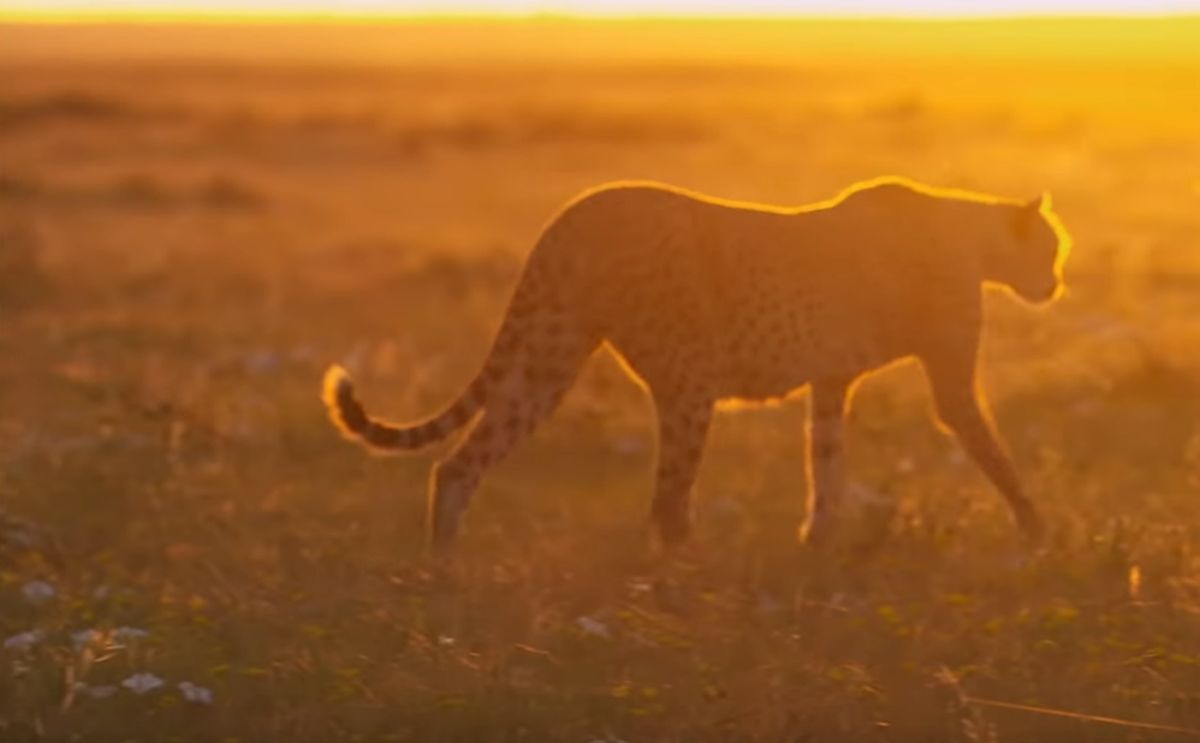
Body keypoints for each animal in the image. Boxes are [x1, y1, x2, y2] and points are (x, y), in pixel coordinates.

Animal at [324, 176, 1075, 552]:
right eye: (1051, 247)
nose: (1056, 283)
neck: (972, 233)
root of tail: (580, 207)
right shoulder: (948, 379)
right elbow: (991, 449)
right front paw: (1039, 532)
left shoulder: (830, 382)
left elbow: (826, 463)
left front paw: (819, 546)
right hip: (687, 383)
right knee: (666, 506)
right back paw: (688, 604)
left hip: (551, 358)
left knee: (459, 465)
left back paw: (442, 582)